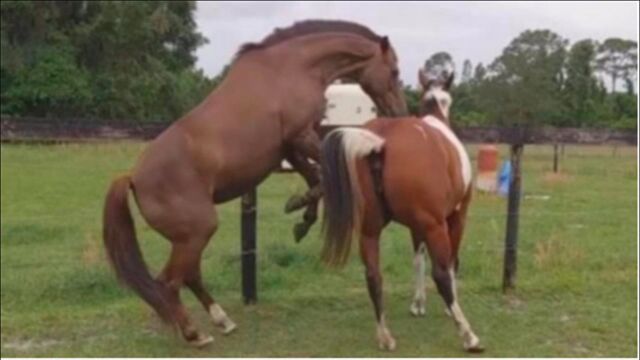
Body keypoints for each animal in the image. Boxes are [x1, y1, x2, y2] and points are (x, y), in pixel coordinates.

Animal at [104, 19, 404, 346]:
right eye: (394, 71)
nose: (399, 112)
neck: (293, 67)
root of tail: (133, 178)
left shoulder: (290, 147)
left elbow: (317, 182)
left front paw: (301, 218)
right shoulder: (302, 137)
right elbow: (321, 180)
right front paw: (299, 212)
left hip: (188, 238)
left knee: (190, 276)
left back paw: (223, 321)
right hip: (197, 231)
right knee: (170, 281)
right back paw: (195, 334)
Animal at [318, 69, 482, 352]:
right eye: (447, 100)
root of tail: (381, 142)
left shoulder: (416, 226)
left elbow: (417, 259)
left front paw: (417, 304)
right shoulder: (454, 217)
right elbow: (450, 262)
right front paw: (448, 308)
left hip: (370, 229)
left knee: (374, 277)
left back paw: (385, 336)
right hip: (435, 225)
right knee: (440, 273)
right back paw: (467, 334)